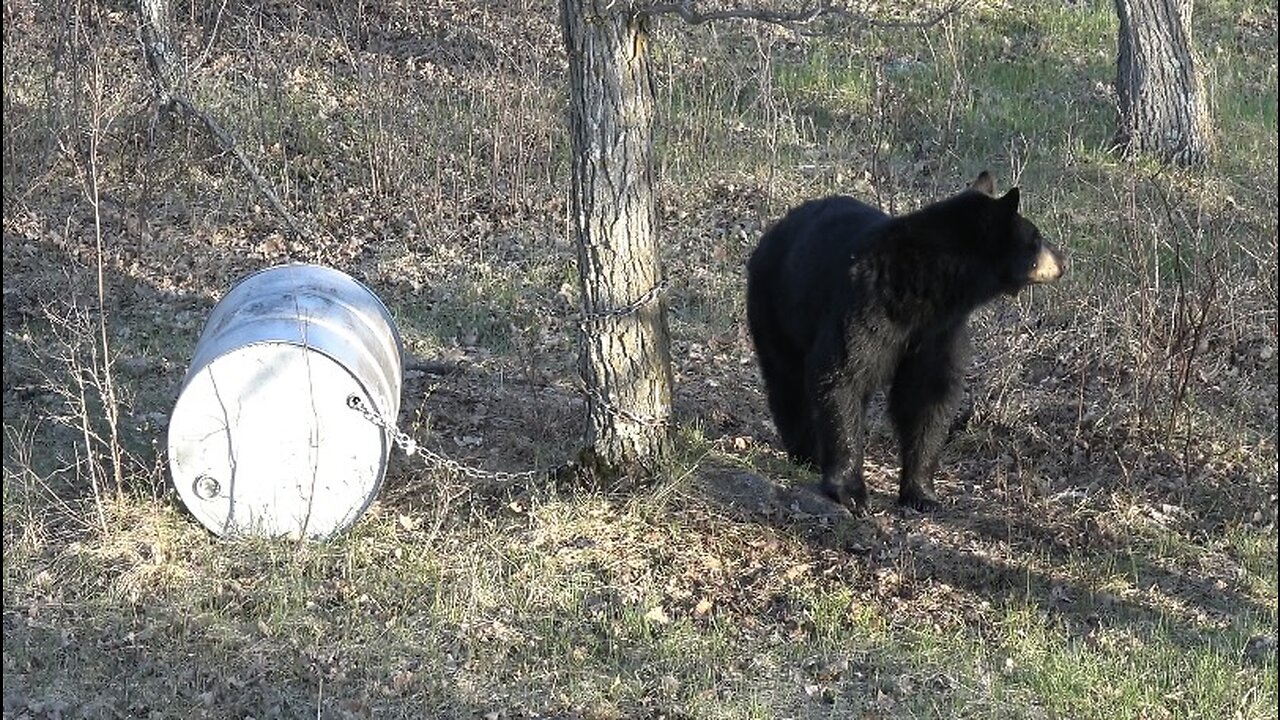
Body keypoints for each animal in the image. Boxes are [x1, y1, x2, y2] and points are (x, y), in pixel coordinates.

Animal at [747, 171, 1064, 509]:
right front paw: (850, 490)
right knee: (787, 377)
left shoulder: (939, 330)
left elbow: (929, 394)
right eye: (1036, 238)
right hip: (776, 302)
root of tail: (776, 228)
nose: (1063, 260)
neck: (929, 288)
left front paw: (922, 492)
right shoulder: (867, 305)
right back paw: (805, 451)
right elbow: (841, 374)